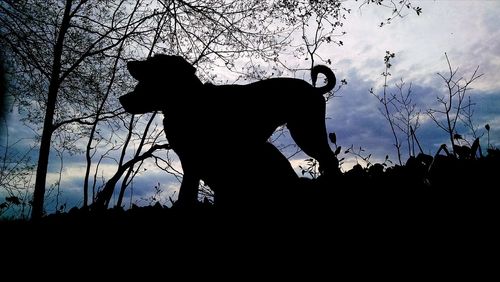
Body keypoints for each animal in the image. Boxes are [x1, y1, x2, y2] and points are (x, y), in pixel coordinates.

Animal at [120, 54, 340, 207]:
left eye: (153, 63)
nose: (129, 63)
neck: (189, 100)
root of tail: (315, 90)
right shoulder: (194, 162)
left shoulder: (196, 162)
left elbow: (187, 192)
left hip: (306, 132)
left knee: (330, 160)